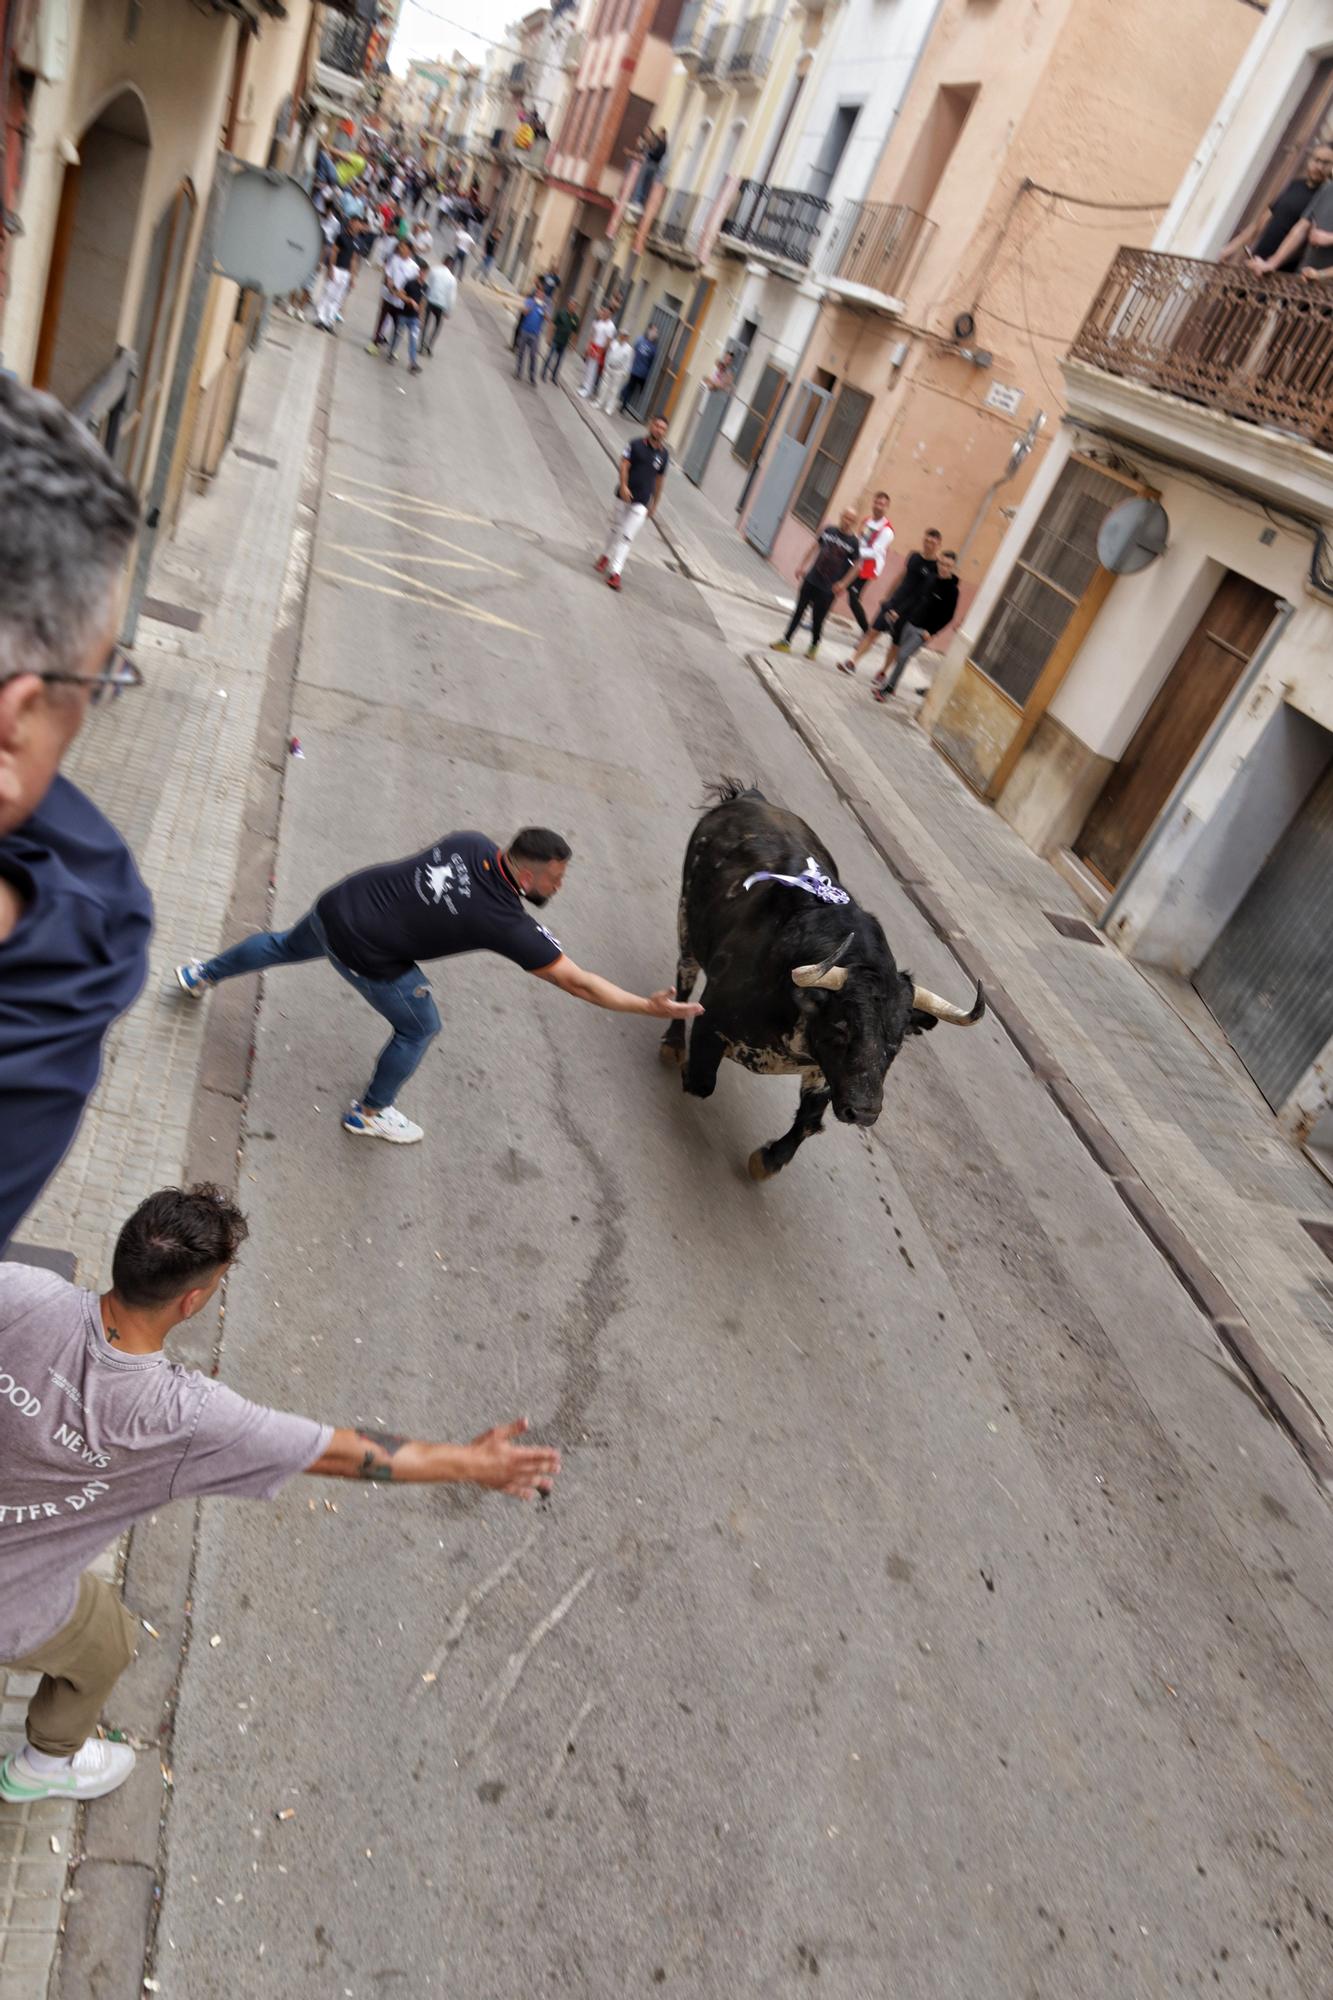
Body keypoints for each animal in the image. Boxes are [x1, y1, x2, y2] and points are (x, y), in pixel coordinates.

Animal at [660, 780, 980, 1176]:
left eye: (897, 1042)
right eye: (842, 1027)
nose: (864, 1112)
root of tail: (750, 798)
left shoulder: (826, 1075)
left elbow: (809, 1122)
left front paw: (768, 1160)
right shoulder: (712, 1018)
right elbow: (701, 1081)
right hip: (686, 919)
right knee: (684, 977)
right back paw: (672, 1042)